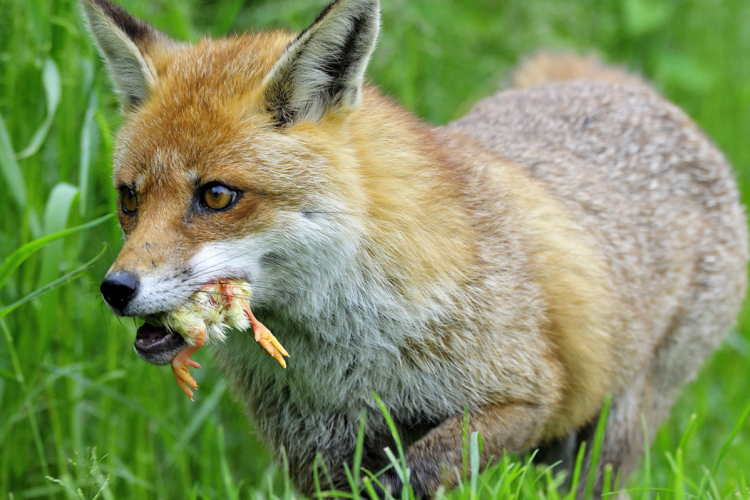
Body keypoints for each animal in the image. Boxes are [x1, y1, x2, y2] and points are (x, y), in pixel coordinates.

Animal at [85, 0, 748, 494]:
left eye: (217, 195)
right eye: (128, 198)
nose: (115, 290)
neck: (348, 355)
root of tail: (617, 90)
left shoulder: (526, 395)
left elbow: (417, 475)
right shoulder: (317, 451)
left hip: (612, 428)